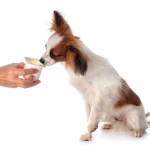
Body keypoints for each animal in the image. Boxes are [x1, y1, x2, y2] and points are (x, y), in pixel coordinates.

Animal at [39, 10, 149, 141]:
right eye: (45, 47)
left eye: (53, 54)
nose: (40, 60)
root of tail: (144, 118)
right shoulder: (86, 97)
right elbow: (88, 116)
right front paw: (88, 135)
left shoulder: (102, 94)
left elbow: (94, 113)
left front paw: (91, 127)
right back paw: (108, 125)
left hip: (133, 117)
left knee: (142, 127)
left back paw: (138, 132)